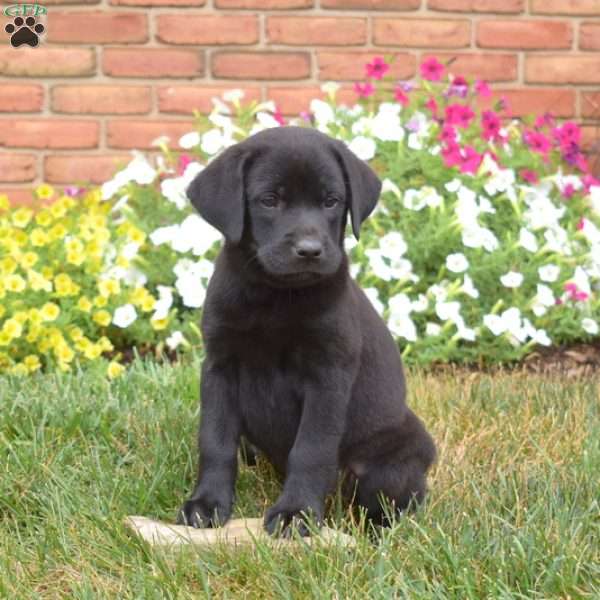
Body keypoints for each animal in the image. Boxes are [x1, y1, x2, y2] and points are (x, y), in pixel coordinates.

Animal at [178, 126, 436, 536]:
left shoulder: (328, 375)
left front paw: (295, 513)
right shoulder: (219, 365)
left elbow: (311, 448)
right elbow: (215, 440)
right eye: (269, 200)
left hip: (396, 453)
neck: (275, 295)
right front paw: (206, 504)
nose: (310, 250)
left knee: (393, 499)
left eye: (331, 201)